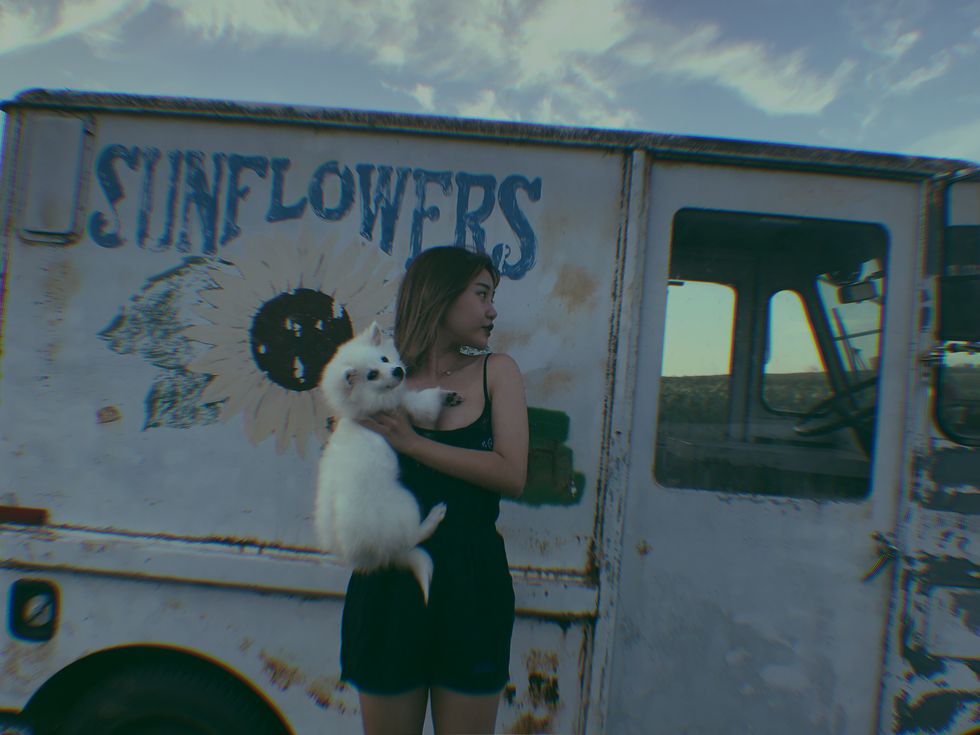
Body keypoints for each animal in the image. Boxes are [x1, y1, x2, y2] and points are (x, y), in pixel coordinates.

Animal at [315, 322, 458, 603]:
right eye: (372, 375)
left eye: (384, 359)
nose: (398, 370)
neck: (364, 412)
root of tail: (376, 556)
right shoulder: (405, 406)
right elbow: (423, 402)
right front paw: (442, 397)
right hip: (405, 503)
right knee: (413, 537)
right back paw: (433, 517)